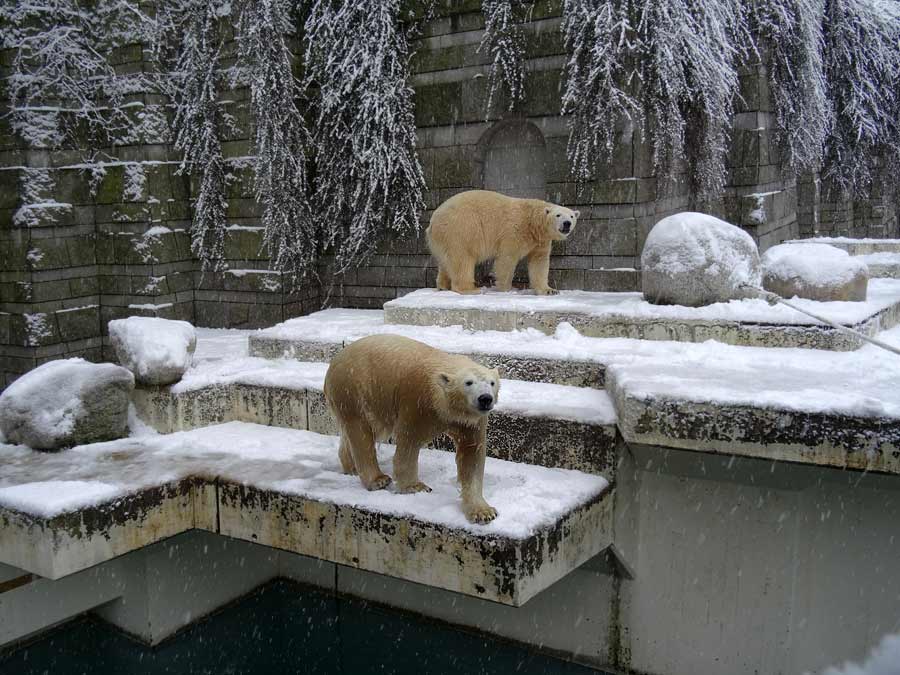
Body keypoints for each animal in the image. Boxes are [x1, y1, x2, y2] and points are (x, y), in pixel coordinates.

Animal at [324, 336, 502, 524]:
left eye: (492, 383)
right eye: (468, 383)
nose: (485, 398)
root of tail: (334, 362)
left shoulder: (472, 419)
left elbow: (471, 454)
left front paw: (484, 512)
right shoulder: (418, 402)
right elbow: (409, 441)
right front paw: (416, 486)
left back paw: (351, 468)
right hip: (353, 388)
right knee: (360, 431)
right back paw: (378, 480)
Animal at [426, 190, 580, 296]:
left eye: (572, 216)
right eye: (558, 215)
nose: (567, 223)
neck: (532, 222)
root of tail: (433, 222)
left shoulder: (540, 241)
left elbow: (539, 263)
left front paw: (549, 290)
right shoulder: (514, 232)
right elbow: (506, 259)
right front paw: (505, 288)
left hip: (445, 238)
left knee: (446, 262)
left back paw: (442, 286)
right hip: (461, 229)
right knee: (462, 260)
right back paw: (471, 289)